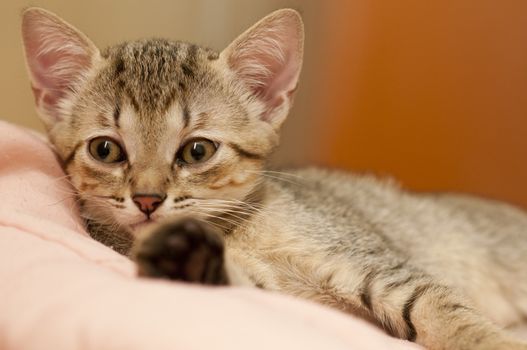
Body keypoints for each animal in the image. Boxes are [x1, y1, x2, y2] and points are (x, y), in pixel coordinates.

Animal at [20, 6, 527, 350]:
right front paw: (189, 262)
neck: (240, 230)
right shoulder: (283, 300)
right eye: (105, 150)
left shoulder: (380, 266)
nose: (147, 199)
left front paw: (492, 340)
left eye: (197, 151)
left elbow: (444, 312)